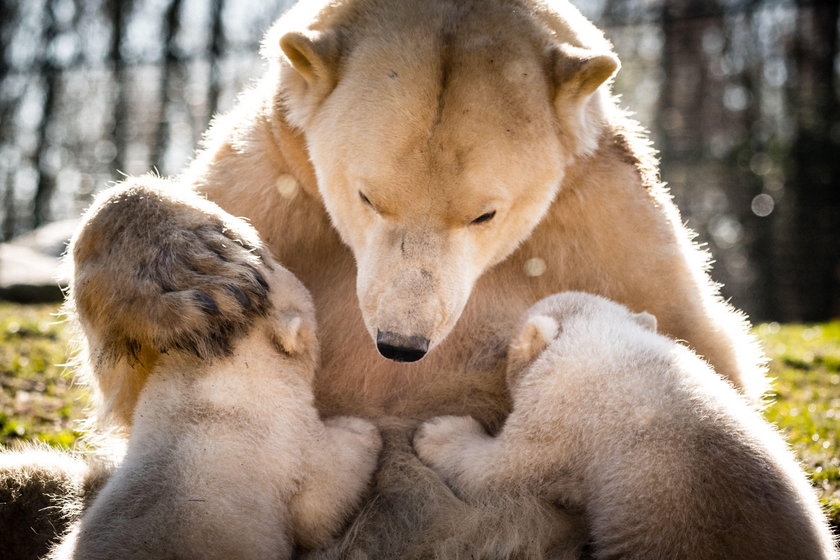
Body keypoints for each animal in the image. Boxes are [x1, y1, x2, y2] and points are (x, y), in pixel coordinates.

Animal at [48, 178, 380, 560]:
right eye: (263, 255)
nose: (259, 238)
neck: (208, 388)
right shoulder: (286, 442)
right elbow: (320, 501)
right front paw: (363, 432)